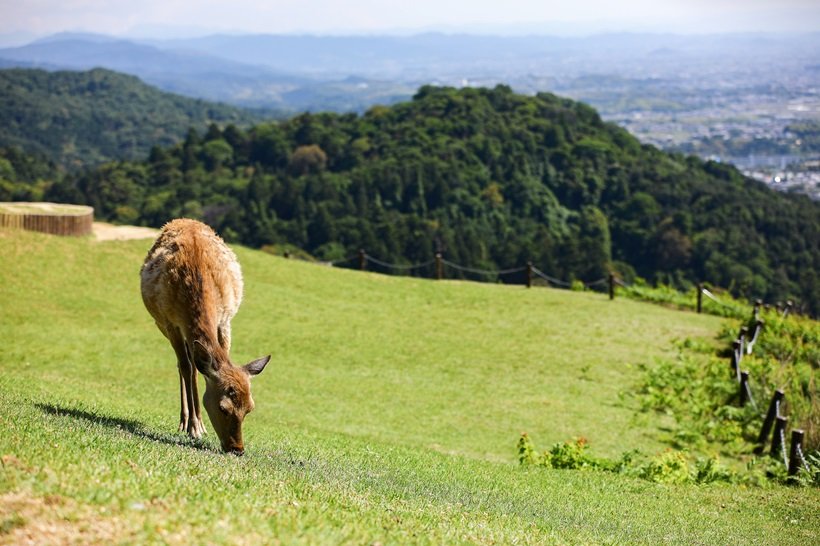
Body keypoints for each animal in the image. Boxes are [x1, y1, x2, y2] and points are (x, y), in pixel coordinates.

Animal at [140, 219, 270, 452]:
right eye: (223, 408)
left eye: (250, 408)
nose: (237, 448)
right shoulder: (171, 323)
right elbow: (187, 368)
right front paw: (195, 427)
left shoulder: (225, 320)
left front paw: (197, 425)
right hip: (162, 325)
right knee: (185, 365)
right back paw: (186, 422)